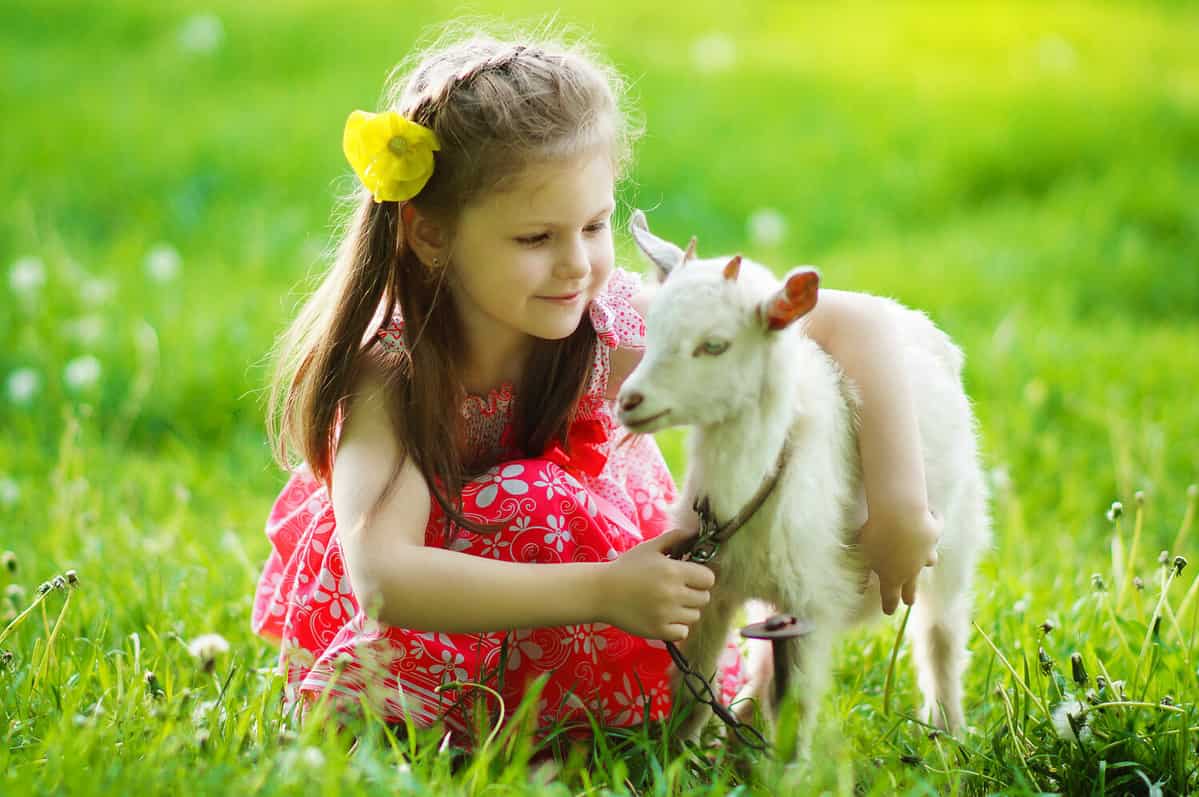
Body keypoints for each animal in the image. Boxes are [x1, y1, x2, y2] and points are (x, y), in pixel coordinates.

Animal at [613, 209, 987, 752]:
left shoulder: (811, 596)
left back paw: (949, 732)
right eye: (649, 327)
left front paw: (788, 764)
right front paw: (673, 757)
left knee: (941, 635)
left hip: (957, 539)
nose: (630, 401)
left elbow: (795, 705)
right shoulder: (711, 587)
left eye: (714, 345)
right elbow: (691, 688)